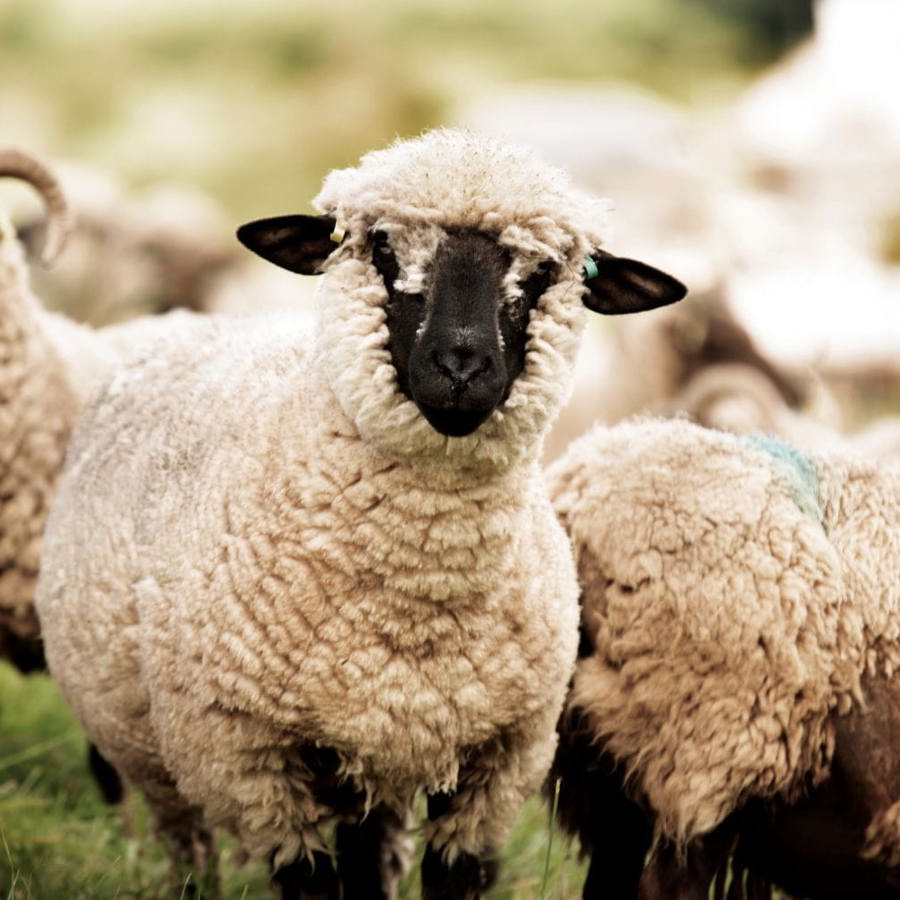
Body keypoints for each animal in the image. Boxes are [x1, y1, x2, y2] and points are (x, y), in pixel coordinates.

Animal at [34, 128, 686, 899]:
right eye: (381, 247)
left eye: (548, 269)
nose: (461, 367)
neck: (419, 595)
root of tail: (188, 318)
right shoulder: (253, 762)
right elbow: (308, 882)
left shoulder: (500, 762)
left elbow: (452, 877)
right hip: (157, 751)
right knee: (187, 844)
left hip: (372, 761)